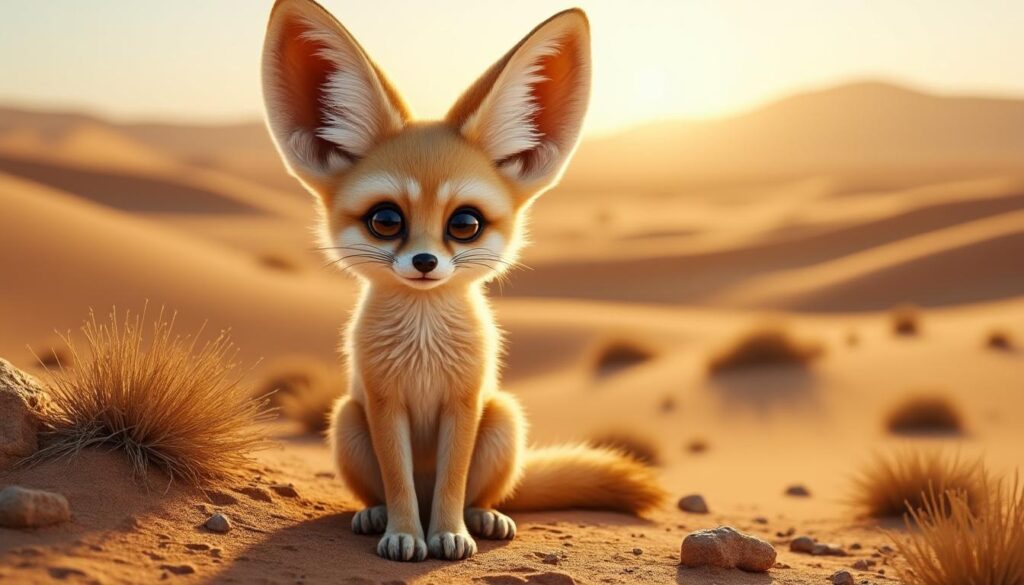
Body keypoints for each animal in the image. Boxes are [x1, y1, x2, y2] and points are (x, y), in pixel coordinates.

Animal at [261, 0, 664, 562]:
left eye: (465, 224)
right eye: (386, 220)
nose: (425, 262)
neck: (424, 345)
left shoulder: (466, 401)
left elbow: (453, 479)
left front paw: (449, 533)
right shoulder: (384, 403)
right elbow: (399, 480)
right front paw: (405, 534)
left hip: (504, 417)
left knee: (483, 492)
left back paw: (484, 517)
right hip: (345, 419)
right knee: (383, 488)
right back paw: (375, 514)